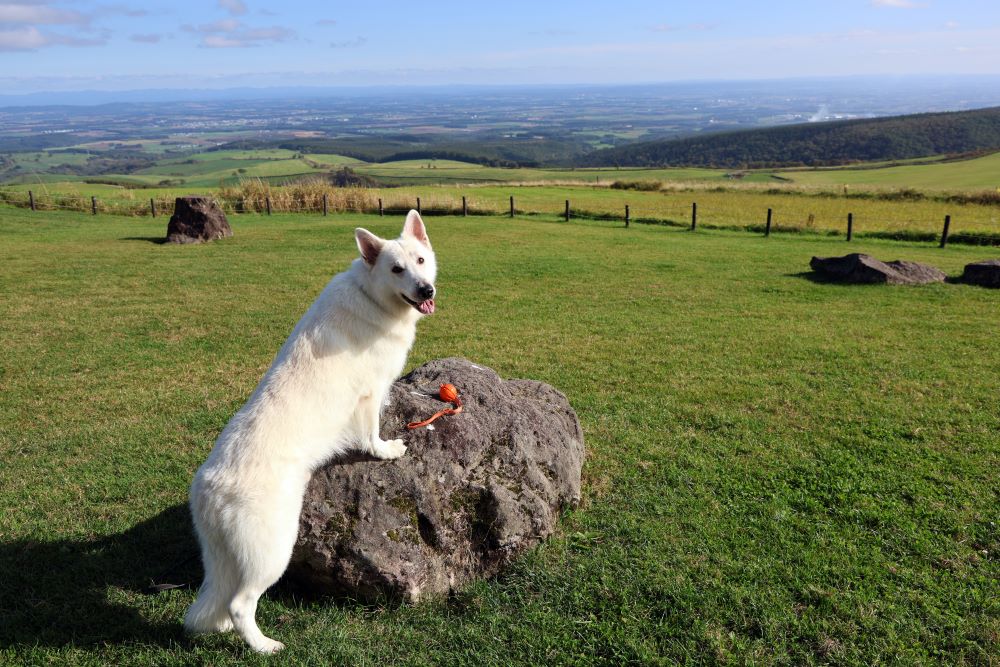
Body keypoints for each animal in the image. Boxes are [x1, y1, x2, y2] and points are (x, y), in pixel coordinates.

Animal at [186, 211, 436, 656]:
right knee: (239, 604)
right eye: (396, 269)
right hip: (274, 552)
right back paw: (264, 646)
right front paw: (387, 450)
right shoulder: (370, 393)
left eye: (421, 261)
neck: (371, 294)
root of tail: (209, 488)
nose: (426, 289)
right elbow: (372, 435)